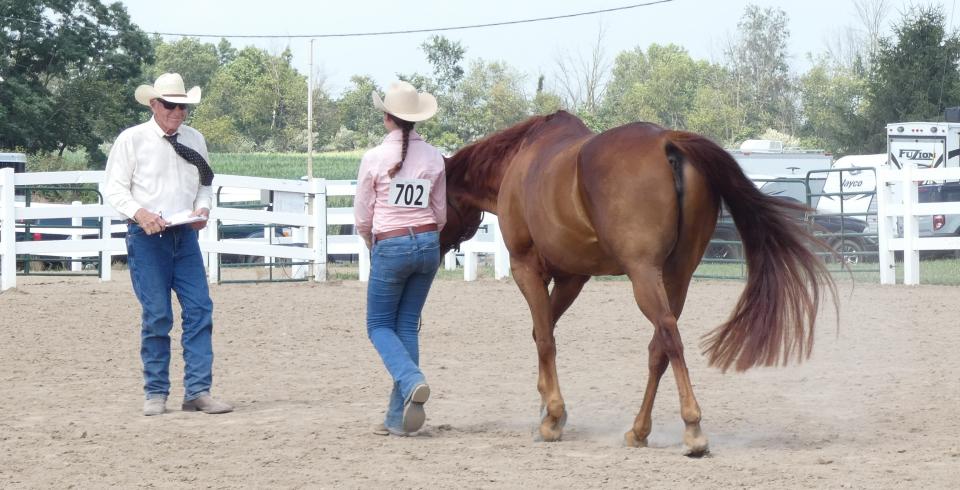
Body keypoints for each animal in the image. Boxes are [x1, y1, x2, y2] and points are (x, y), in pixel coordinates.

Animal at [438, 111, 836, 456]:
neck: (521, 162)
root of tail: (667, 141)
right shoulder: (572, 277)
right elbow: (542, 331)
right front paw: (548, 409)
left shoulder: (527, 268)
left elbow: (545, 339)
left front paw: (551, 417)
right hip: (676, 277)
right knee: (659, 347)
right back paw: (639, 430)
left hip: (643, 275)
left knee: (669, 337)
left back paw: (692, 429)